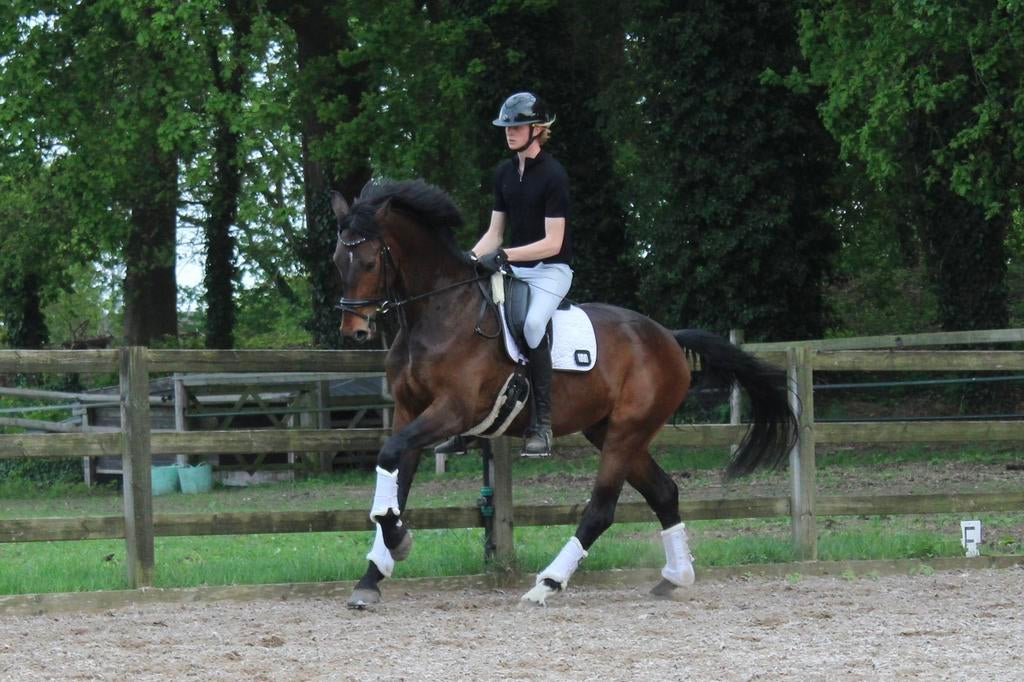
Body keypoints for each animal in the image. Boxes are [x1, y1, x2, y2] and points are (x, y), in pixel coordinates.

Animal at [331, 179, 797, 607]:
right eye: (338, 260)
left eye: (369, 261)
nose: (353, 330)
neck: (438, 312)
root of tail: (667, 336)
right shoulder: (409, 411)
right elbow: (396, 482)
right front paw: (373, 574)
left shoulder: (454, 410)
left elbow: (389, 458)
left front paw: (397, 543)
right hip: (610, 431)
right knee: (665, 493)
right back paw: (676, 577)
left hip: (627, 430)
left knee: (602, 509)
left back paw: (548, 583)